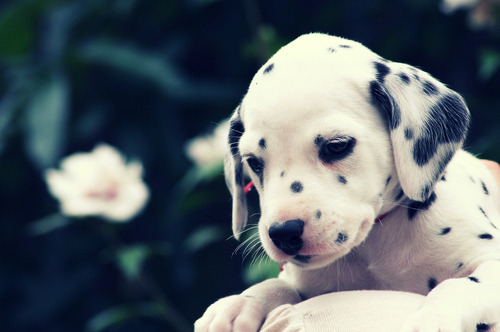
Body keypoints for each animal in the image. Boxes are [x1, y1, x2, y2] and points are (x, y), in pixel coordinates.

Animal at [194, 33, 500, 332]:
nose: (283, 233)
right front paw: (240, 303)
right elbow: (278, 285)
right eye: (254, 162)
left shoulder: (490, 261)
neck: (375, 248)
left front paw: (430, 318)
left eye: (336, 146)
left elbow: (456, 287)